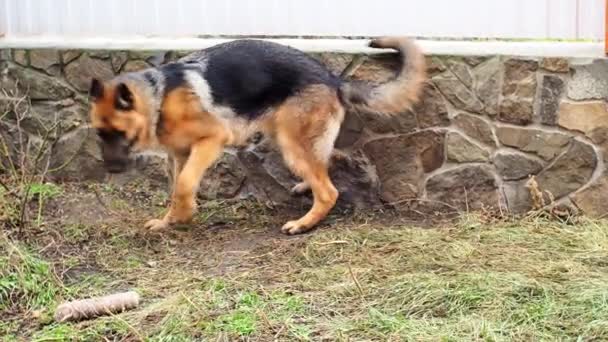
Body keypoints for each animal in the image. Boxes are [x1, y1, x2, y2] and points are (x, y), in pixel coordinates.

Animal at [89, 38, 422, 235]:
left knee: (329, 190)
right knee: (326, 163)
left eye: (119, 133)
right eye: (100, 134)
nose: (110, 169)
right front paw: (170, 219)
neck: (158, 99)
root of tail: (333, 78)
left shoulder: (211, 141)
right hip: (289, 138)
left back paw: (303, 224)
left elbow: (183, 184)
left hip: (291, 144)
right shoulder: (180, 155)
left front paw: (183, 215)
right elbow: (177, 187)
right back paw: (306, 186)